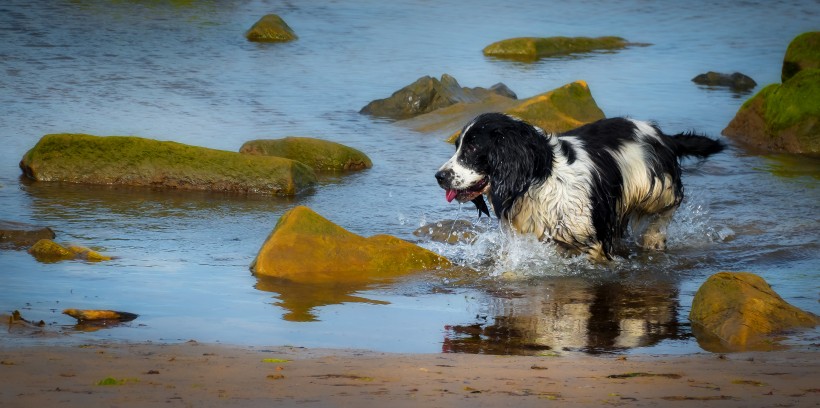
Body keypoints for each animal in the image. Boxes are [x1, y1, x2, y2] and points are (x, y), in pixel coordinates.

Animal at [436, 113, 724, 262]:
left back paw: (654, 238)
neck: (539, 179)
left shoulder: (590, 240)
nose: (439, 176)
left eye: (472, 148)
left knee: (667, 207)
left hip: (656, 188)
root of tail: (662, 136)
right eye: (458, 146)